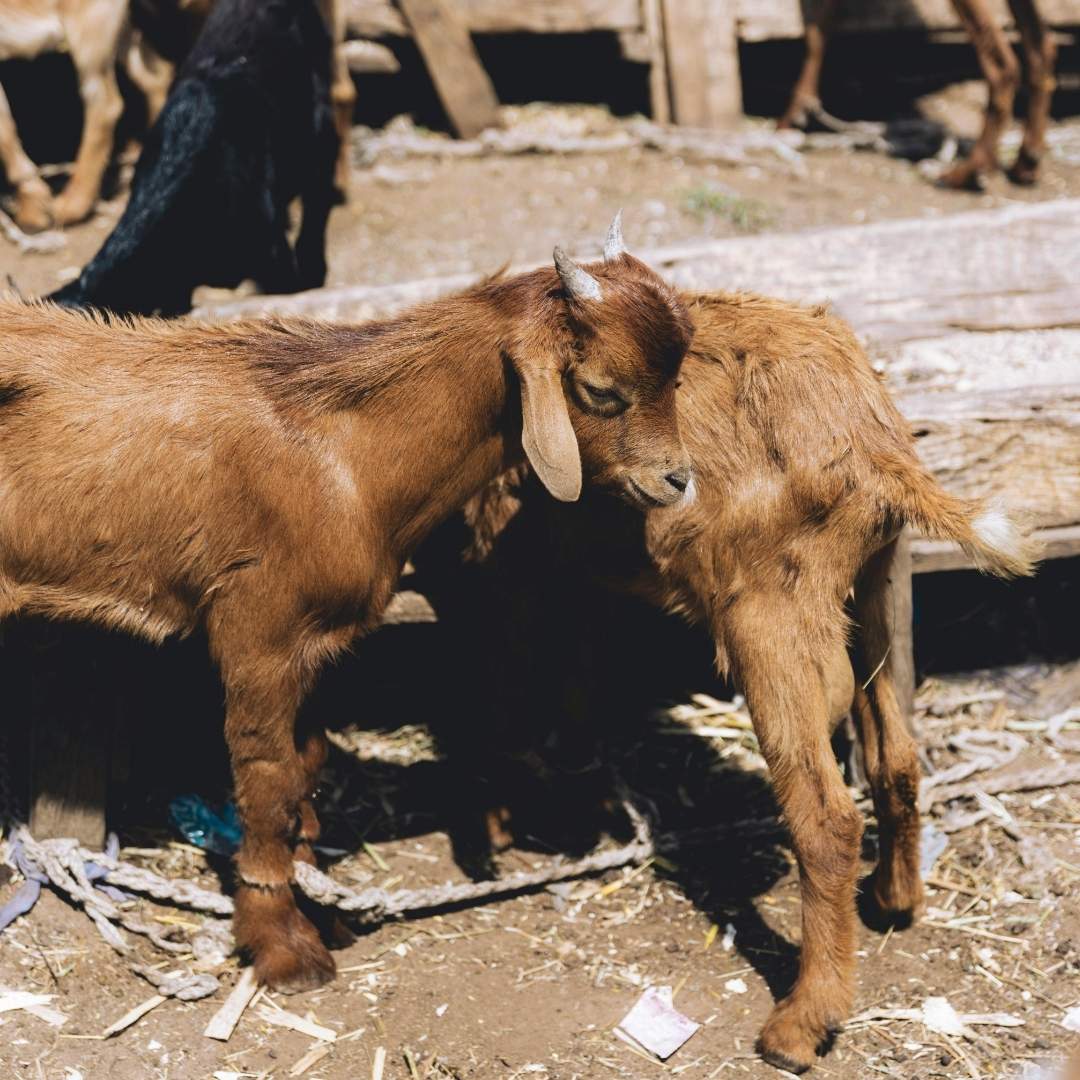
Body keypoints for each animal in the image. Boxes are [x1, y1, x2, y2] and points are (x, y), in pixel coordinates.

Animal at [0, 222, 694, 991]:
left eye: (677, 377)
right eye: (601, 389)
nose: (677, 480)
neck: (347, 455)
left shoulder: (314, 645)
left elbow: (307, 769)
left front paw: (319, 908)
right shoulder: (257, 634)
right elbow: (267, 783)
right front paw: (281, 944)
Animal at [416, 268, 1038, 1072]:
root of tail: (878, 444)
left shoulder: (505, 569)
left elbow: (504, 689)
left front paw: (495, 826)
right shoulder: (571, 571)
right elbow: (577, 681)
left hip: (768, 611)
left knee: (826, 817)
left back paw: (800, 1026)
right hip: (874, 577)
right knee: (895, 752)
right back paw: (895, 901)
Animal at [779, 0, 1056, 190]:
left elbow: (817, 24)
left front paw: (792, 115)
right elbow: (818, 29)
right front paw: (801, 107)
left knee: (1003, 65)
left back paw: (967, 172)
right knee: (1042, 48)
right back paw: (1026, 162)